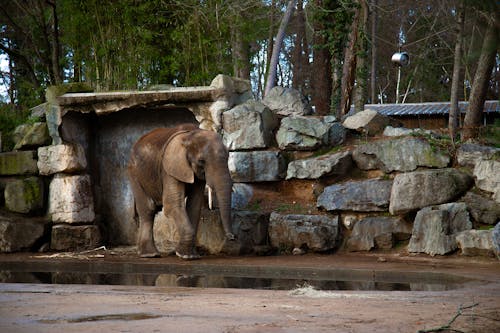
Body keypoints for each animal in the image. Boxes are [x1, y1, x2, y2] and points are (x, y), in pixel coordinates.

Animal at [127, 123, 236, 258]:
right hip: (134, 173)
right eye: (201, 161)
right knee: (148, 209)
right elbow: (173, 203)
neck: (190, 135)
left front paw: (189, 254)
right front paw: (185, 256)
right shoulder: (169, 168)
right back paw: (150, 254)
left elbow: (194, 205)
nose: (232, 237)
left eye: (228, 158)